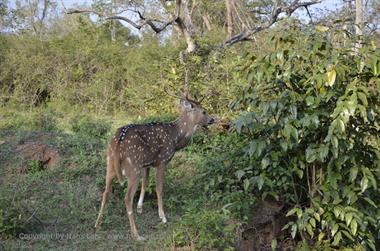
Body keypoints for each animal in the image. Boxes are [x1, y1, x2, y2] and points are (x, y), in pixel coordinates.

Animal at [94, 95, 215, 240]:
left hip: (110, 164)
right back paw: (136, 235)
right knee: (127, 198)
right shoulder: (162, 161)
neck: (176, 139)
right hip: (133, 168)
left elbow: (145, 183)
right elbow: (159, 188)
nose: (212, 119)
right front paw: (163, 217)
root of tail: (118, 142)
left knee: (106, 192)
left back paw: (97, 224)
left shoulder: (147, 164)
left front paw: (140, 208)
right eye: (204, 111)